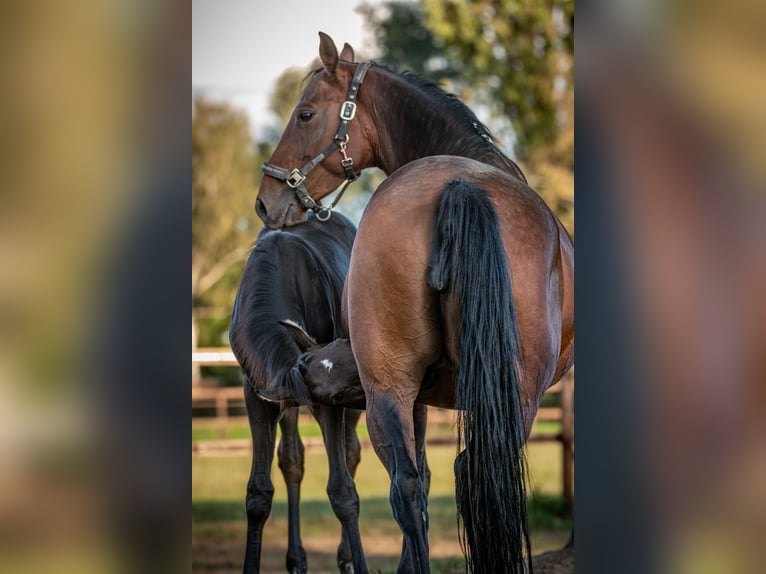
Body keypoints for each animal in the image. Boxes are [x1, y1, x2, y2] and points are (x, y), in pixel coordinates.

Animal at [229, 211, 367, 574]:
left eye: (337, 395)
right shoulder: (259, 395)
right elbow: (258, 494)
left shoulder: (327, 403)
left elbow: (342, 491)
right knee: (292, 459)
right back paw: (297, 560)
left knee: (350, 453)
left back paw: (345, 558)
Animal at [255, 33, 574, 574]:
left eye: (304, 114)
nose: (265, 200)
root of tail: (459, 186)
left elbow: (420, 479)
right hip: (508, 398)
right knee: (461, 476)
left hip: (391, 386)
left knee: (408, 486)